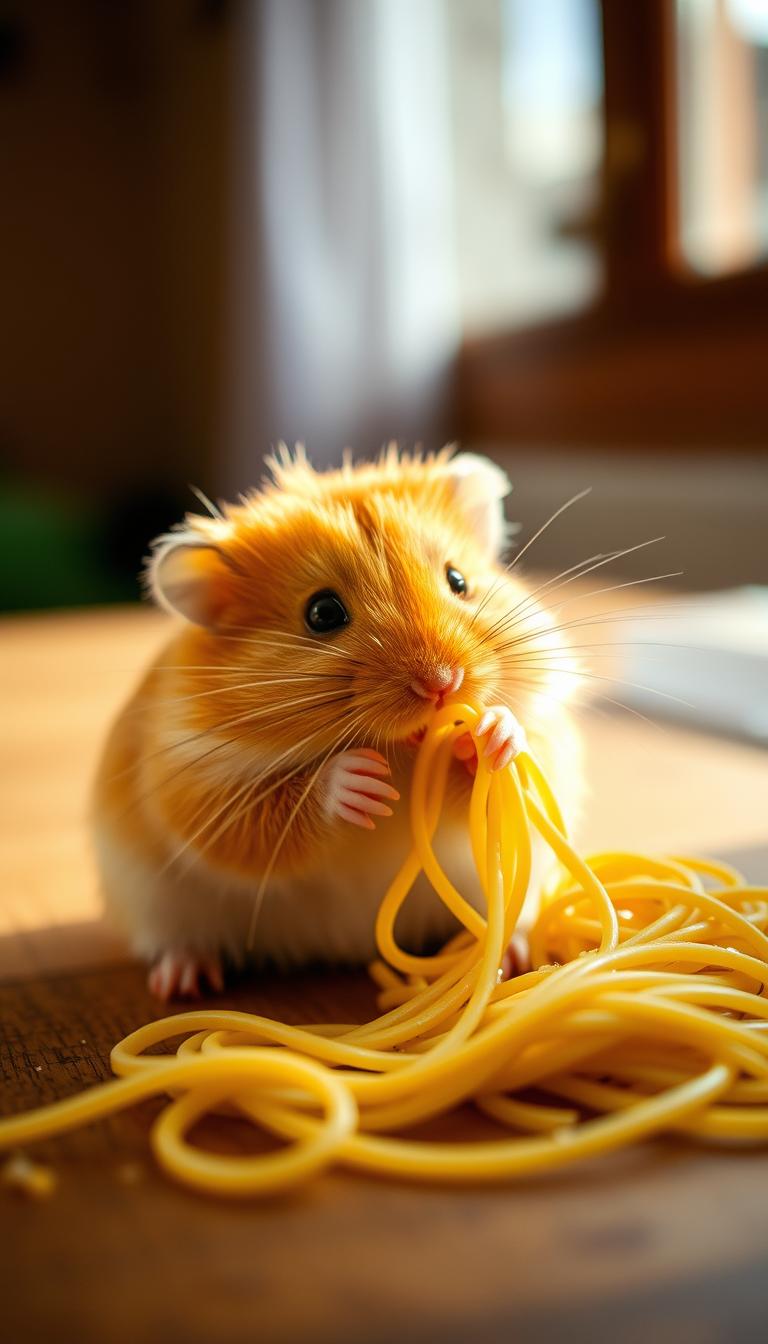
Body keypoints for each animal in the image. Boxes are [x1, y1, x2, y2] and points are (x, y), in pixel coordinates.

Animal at [92, 446, 583, 999]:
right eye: (322, 613)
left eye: (458, 581)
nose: (442, 684)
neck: (403, 750)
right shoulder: (197, 786)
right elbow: (272, 814)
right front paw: (362, 781)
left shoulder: (548, 736)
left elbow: (521, 758)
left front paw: (491, 732)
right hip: (155, 902)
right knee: (176, 942)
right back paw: (181, 982)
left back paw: (516, 955)